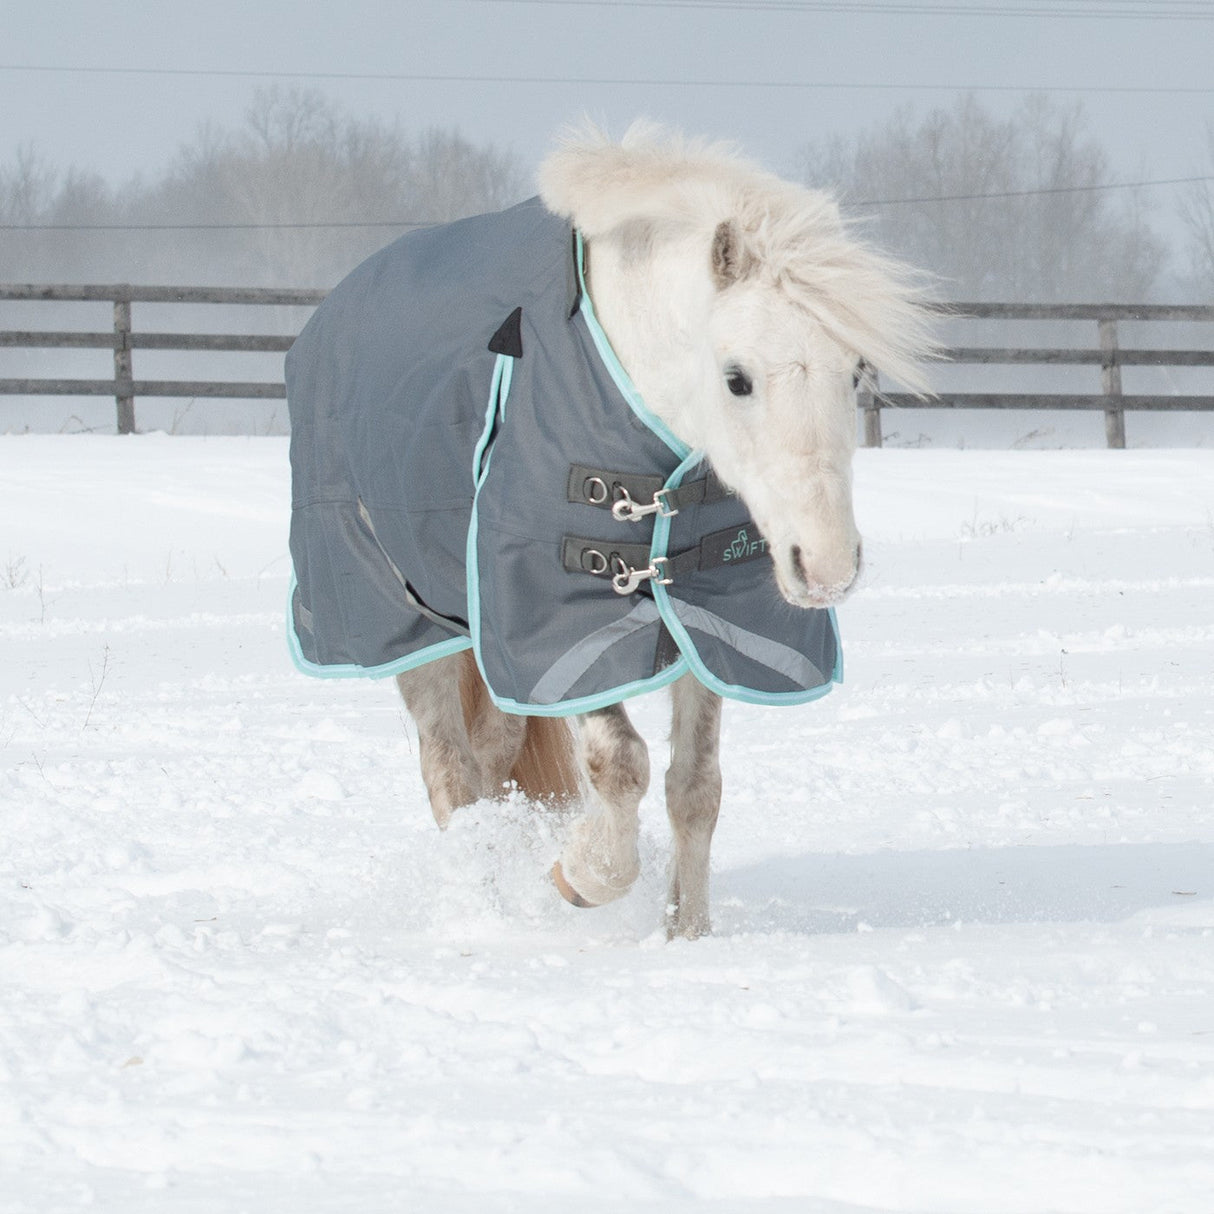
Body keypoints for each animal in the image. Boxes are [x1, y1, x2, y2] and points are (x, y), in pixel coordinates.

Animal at [383, 125, 935, 939]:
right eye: (736, 378)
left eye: (858, 372)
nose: (828, 565)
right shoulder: (559, 617)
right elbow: (621, 764)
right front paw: (582, 877)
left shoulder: (709, 617)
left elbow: (695, 787)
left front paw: (687, 936)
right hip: (411, 628)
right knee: (449, 769)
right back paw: (483, 912)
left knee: (493, 753)